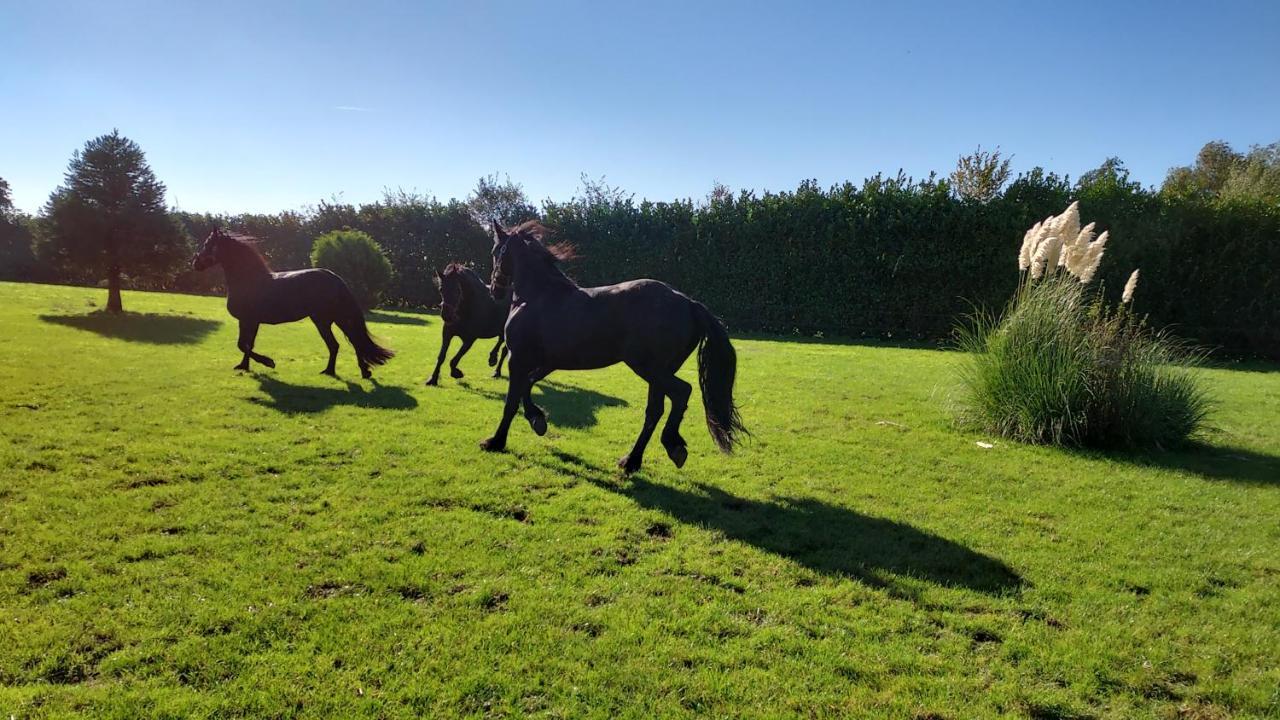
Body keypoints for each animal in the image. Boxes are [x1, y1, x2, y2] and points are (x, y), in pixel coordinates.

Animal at [192, 228, 391, 376]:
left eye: (208, 244)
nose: (195, 263)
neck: (250, 280)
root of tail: (336, 278)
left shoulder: (250, 320)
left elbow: (243, 345)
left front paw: (269, 362)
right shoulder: (249, 321)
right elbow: (247, 344)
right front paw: (243, 366)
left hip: (328, 319)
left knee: (346, 343)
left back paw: (342, 371)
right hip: (331, 319)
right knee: (347, 343)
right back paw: (347, 371)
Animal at [481, 219, 747, 471]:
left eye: (495, 251)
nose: (494, 290)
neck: (537, 296)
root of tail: (689, 303)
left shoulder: (518, 358)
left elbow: (511, 401)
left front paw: (495, 441)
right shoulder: (546, 362)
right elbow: (527, 386)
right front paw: (537, 420)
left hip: (648, 368)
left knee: (681, 392)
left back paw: (672, 445)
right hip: (660, 372)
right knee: (654, 411)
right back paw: (632, 461)